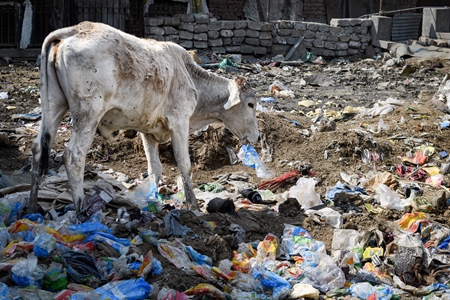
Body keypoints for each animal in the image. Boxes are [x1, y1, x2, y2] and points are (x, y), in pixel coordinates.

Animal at [28, 22, 258, 217]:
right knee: (74, 155)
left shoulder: (148, 130)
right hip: (88, 113)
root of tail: (74, 30)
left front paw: (153, 201)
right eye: (251, 104)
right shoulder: (179, 122)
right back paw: (81, 210)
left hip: (53, 106)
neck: (190, 77)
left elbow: (154, 169)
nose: (254, 136)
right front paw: (193, 205)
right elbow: (185, 165)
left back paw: (32, 207)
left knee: (38, 149)